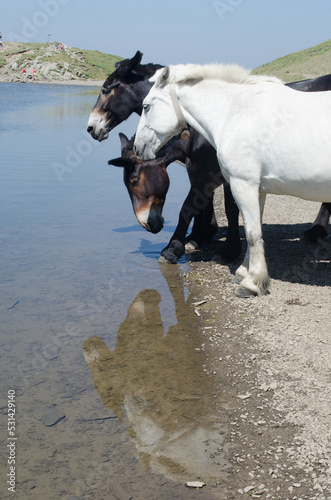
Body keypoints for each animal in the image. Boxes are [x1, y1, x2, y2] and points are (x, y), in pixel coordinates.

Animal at [134, 62, 331, 296]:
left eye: (146, 106)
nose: (137, 147)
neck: (237, 113)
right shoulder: (257, 189)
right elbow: (252, 229)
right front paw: (244, 272)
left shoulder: (242, 184)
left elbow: (252, 234)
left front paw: (252, 282)